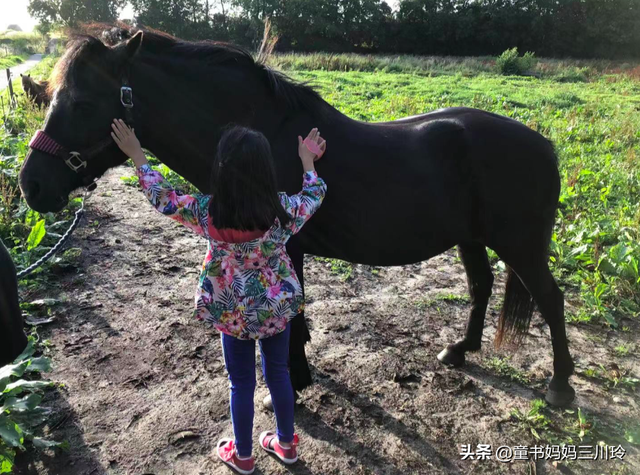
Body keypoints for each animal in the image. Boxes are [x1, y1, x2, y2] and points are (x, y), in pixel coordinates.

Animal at [18, 28, 576, 406]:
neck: (261, 137)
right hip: (471, 238)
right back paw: (459, 351)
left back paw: (560, 385)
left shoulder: (287, 245)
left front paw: (292, 382)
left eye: (83, 102)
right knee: (482, 285)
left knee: (550, 299)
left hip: (521, 244)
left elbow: (292, 318)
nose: (31, 186)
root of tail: (544, 145)